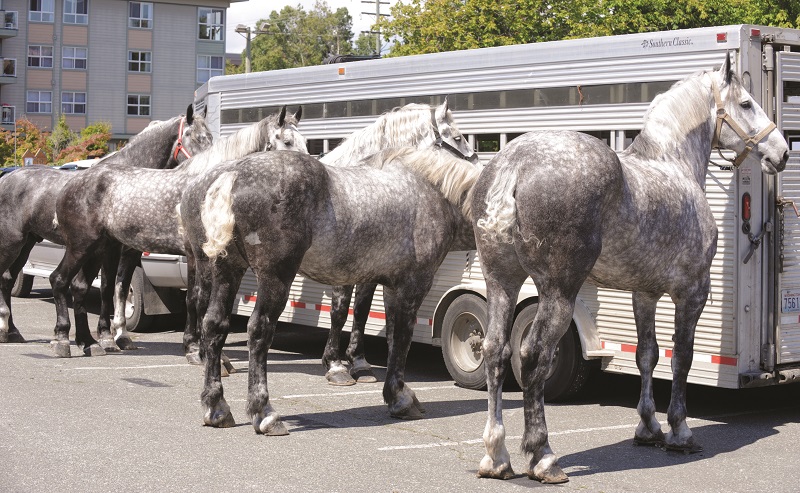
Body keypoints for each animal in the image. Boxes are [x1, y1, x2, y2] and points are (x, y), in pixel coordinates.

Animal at [0, 106, 211, 352]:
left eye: (211, 137)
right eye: (196, 137)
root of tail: (7, 177)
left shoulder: (128, 253)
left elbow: (119, 289)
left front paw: (119, 335)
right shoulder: (108, 250)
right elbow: (106, 288)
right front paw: (105, 336)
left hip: (27, 244)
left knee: (7, 279)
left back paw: (12, 331)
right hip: (13, 243)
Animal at [48, 107, 306, 359]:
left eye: (304, 141)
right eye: (287, 141)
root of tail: (73, 182)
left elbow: (198, 299)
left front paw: (197, 346)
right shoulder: (196, 255)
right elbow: (197, 298)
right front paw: (197, 349)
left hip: (98, 249)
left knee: (80, 286)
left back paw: (89, 343)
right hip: (82, 246)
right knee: (59, 280)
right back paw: (63, 341)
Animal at [179, 145, 480, 432]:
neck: (434, 193)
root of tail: (230, 176)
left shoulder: (391, 287)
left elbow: (392, 337)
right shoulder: (413, 286)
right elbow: (402, 339)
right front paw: (400, 399)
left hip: (226, 270)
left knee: (214, 325)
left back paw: (217, 408)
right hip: (275, 277)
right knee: (259, 331)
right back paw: (264, 413)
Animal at [316, 99, 477, 386]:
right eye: (458, 137)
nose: (479, 165)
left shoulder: (370, 271)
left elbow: (361, 311)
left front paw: (359, 364)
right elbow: (339, 311)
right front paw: (335, 366)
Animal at [471, 54, 788, 483]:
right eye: (745, 104)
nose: (782, 151)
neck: (673, 166)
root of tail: (514, 165)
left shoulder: (645, 294)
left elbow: (647, 355)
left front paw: (648, 427)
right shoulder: (693, 292)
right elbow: (682, 356)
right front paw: (679, 431)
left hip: (501, 282)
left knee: (495, 352)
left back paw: (496, 455)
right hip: (558, 293)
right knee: (534, 355)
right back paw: (543, 456)